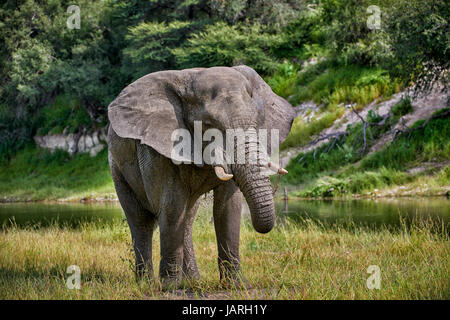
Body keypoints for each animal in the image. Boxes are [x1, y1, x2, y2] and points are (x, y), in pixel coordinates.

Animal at [106, 65, 296, 288]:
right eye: (207, 124)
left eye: (259, 120)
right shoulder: (162, 148)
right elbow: (172, 207)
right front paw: (169, 288)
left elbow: (228, 208)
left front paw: (236, 286)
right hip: (116, 167)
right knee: (141, 220)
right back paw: (147, 284)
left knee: (187, 220)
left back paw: (193, 281)